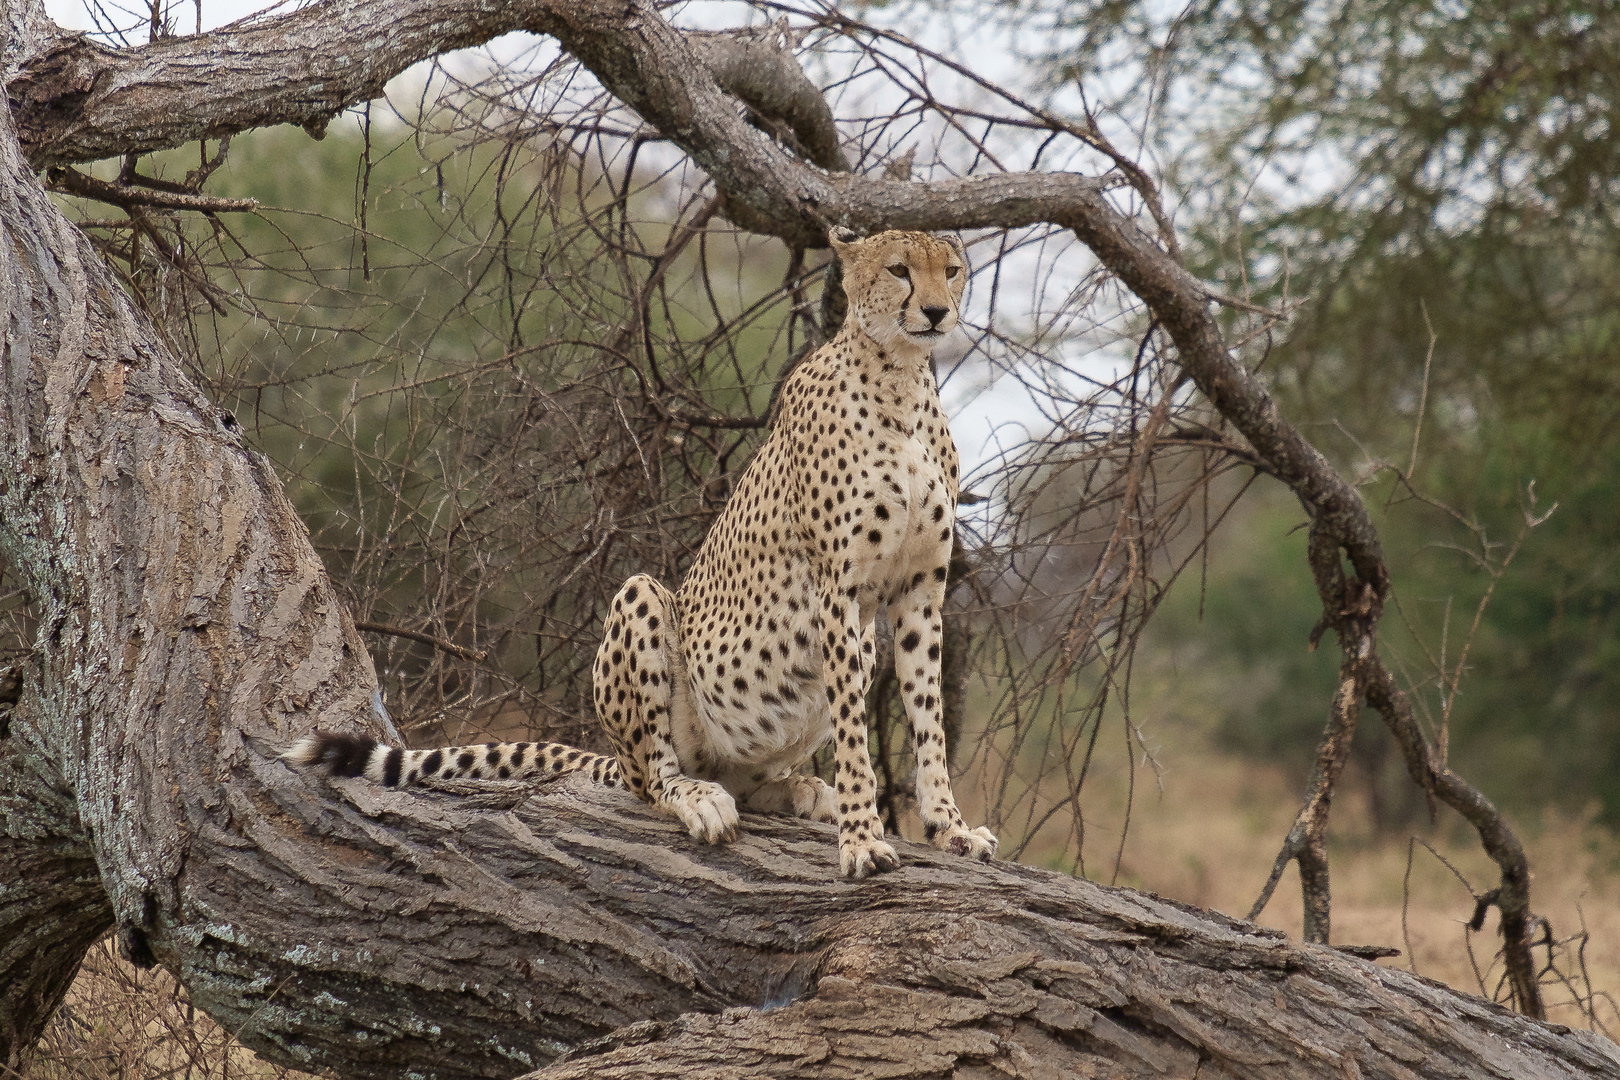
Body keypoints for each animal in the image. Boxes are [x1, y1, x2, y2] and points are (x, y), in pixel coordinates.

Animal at [291, 228, 997, 880]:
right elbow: (855, 728)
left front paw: (948, 827)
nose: (937, 312)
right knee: (654, 775)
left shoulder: (919, 590)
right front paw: (862, 837)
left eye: (951, 269)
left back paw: (797, 788)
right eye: (899, 270)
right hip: (642, 599)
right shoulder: (838, 589)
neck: (901, 379)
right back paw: (702, 797)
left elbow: (929, 716)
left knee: (748, 779)